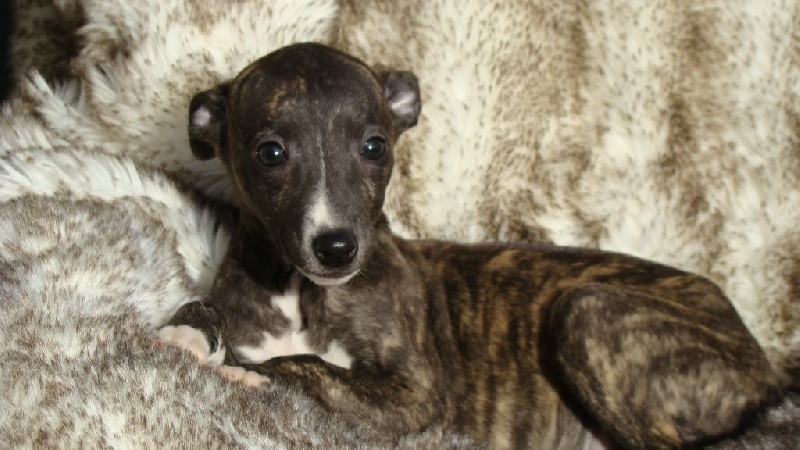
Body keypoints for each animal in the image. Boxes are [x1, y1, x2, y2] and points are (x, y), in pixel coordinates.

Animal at [158, 42, 782, 449]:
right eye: (270, 153)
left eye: (375, 146)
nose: (337, 247)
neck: (299, 289)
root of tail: (764, 362)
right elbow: (208, 311)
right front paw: (188, 333)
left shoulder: (414, 395)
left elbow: (310, 364)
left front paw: (247, 372)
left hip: (587, 310)